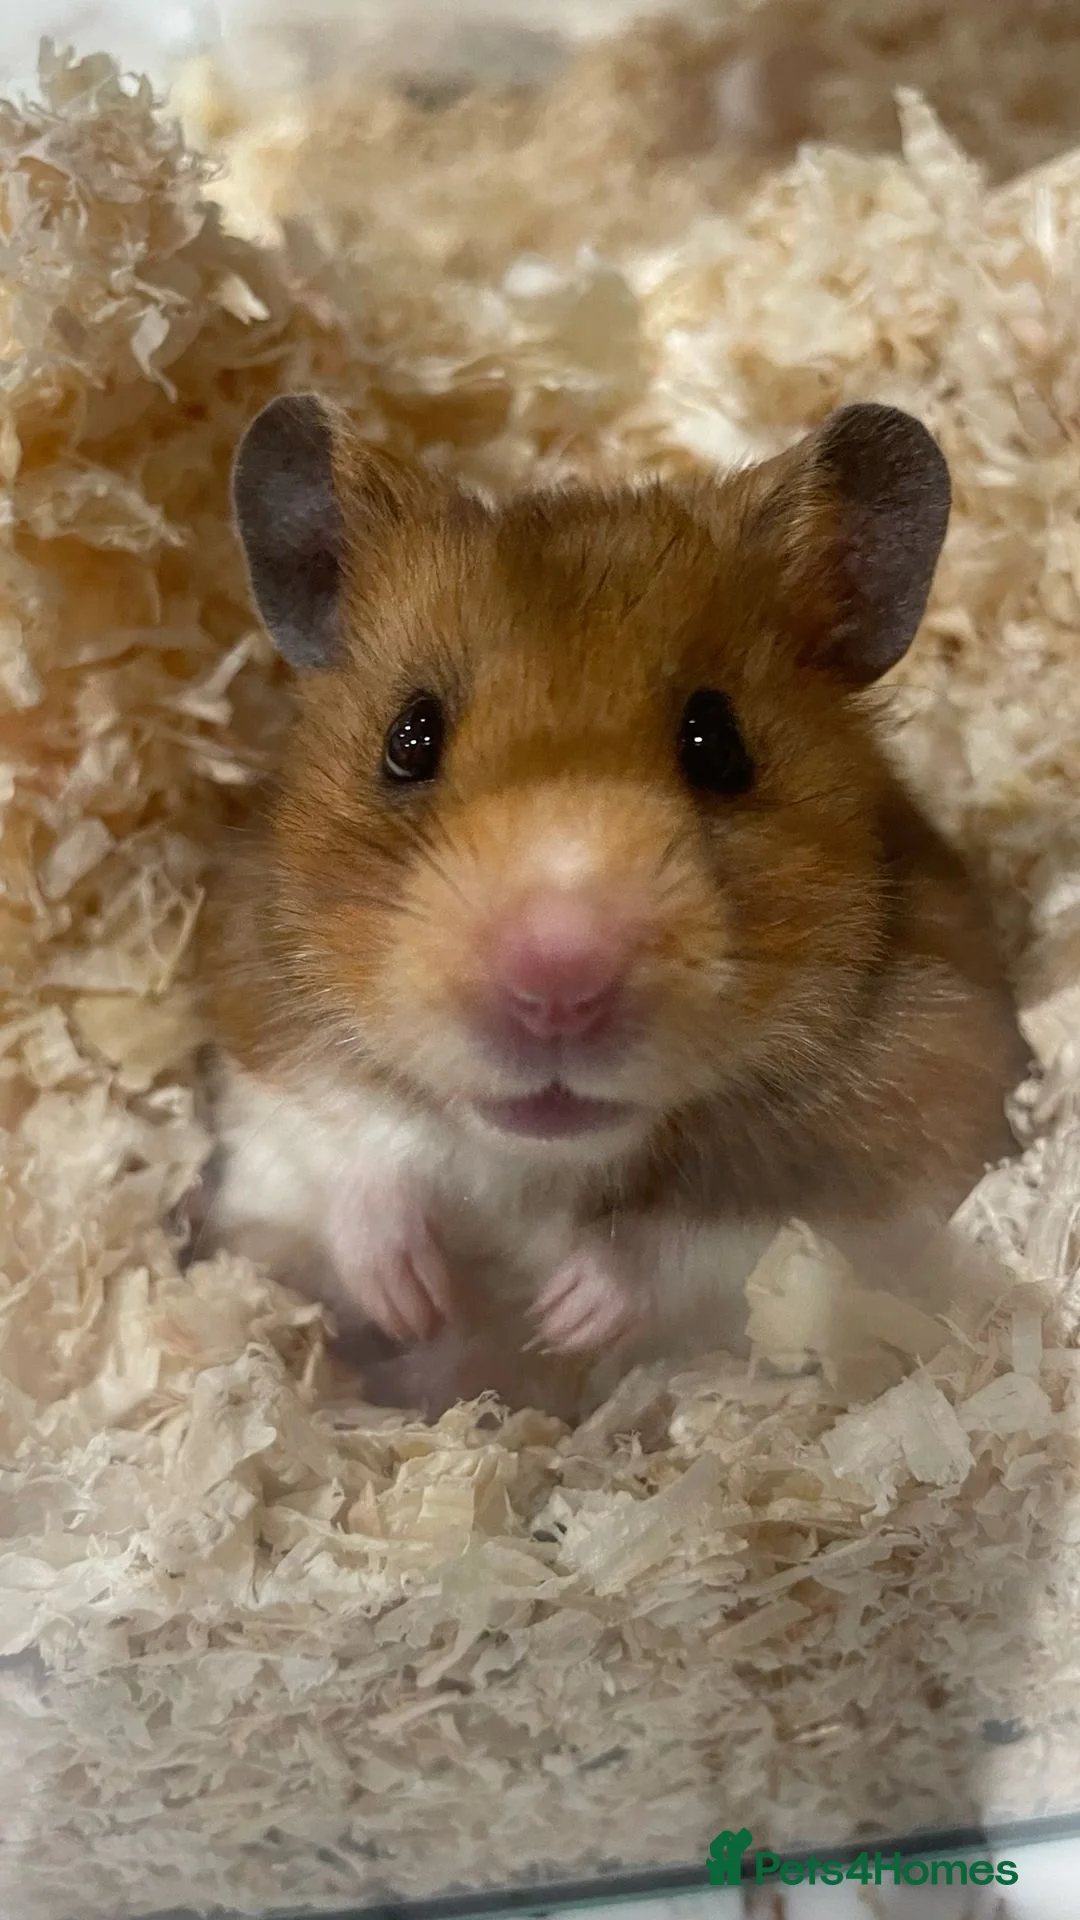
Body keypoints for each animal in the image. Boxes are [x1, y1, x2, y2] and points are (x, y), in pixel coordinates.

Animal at [195, 394, 1027, 1418]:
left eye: (718, 744)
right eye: (409, 737)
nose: (556, 982)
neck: (543, 1164)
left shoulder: (896, 1141)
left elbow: (717, 1238)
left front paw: (562, 1313)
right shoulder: (270, 1055)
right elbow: (354, 1146)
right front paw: (410, 1297)